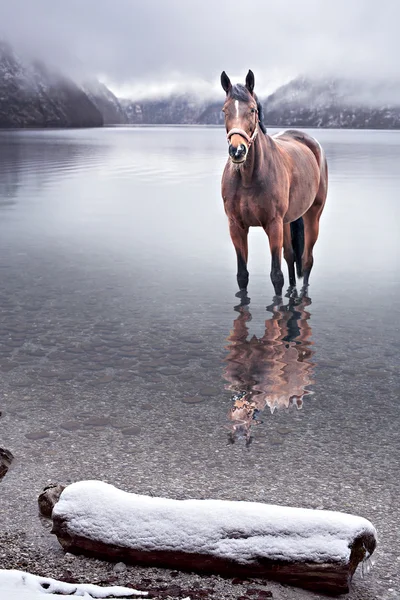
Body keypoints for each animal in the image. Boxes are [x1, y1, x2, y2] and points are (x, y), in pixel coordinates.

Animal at [220, 69, 326, 298]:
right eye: (224, 110)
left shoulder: (273, 225)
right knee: (291, 256)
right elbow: (242, 276)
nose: (237, 151)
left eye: (252, 109)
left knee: (306, 260)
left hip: (312, 216)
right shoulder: (236, 226)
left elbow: (276, 275)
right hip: (287, 221)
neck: (248, 178)